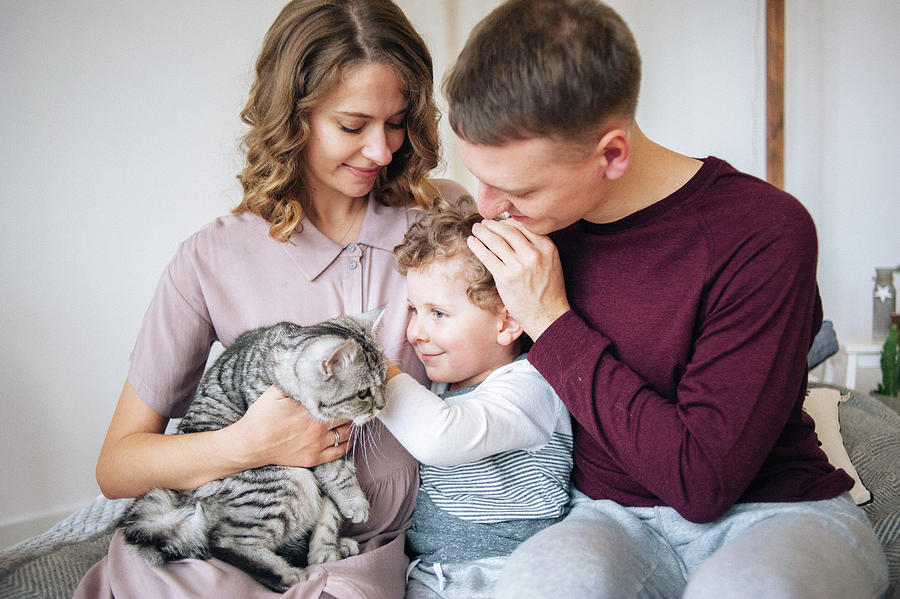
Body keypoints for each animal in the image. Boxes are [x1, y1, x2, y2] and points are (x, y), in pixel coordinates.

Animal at [120, 312, 386, 592]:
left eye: (383, 383)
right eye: (363, 393)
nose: (381, 405)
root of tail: (179, 498)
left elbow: (331, 510)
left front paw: (327, 547)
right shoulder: (318, 452)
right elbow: (339, 475)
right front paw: (355, 503)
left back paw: (335, 549)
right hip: (285, 481)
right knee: (225, 541)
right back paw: (286, 574)